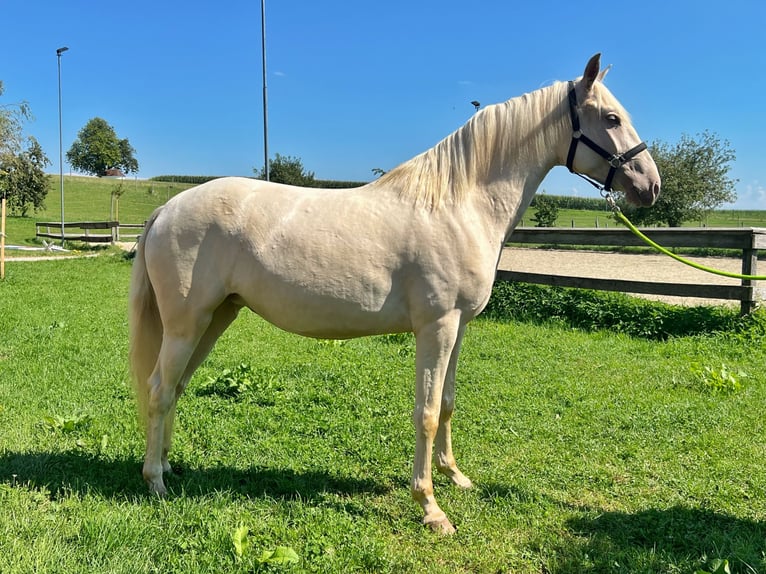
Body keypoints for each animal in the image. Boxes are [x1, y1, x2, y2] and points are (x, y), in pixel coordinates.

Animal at [130, 54, 660, 536]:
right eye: (611, 118)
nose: (650, 186)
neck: (458, 204)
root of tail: (166, 210)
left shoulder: (458, 328)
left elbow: (447, 402)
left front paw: (454, 476)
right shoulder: (436, 326)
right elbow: (425, 413)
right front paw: (430, 507)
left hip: (216, 318)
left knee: (175, 387)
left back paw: (169, 464)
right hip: (187, 324)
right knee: (159, 389)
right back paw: (155, 481)